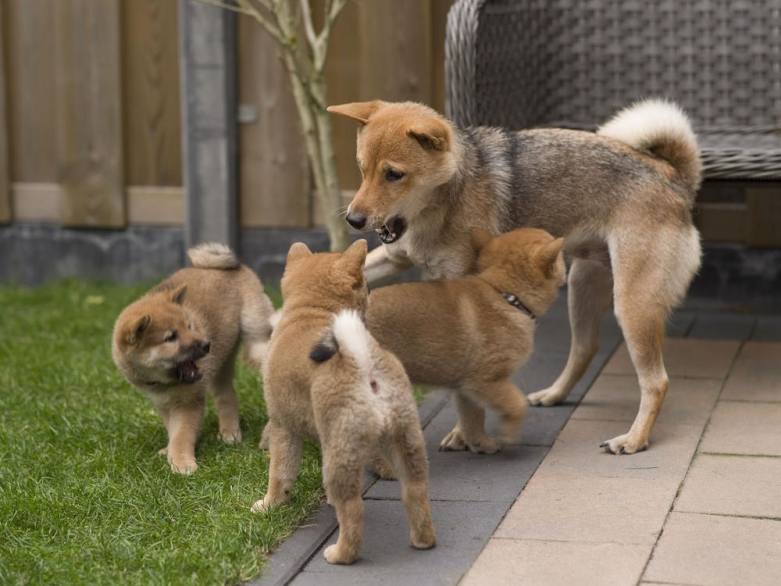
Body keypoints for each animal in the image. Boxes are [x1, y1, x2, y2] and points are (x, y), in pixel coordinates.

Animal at [111, 242, 272, 474]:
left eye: (189, 326)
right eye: (171, 337)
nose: (206, 345)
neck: (163, 383)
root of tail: (236, 266)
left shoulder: (188, 404)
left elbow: (181, 435)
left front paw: (181, 463)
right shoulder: (164, 404)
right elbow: (172, 430)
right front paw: (168, 451)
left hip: (255, 338)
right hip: (221, 362)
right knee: (227, 395)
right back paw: (230, 432)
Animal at [258, 240, 436, 564]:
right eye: (365, 285)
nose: (371, 293)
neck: (311, 311)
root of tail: (362, 360)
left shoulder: (283, 428)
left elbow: (280, 475)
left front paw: (269, 506)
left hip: (340, 454)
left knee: (353, 509)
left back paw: (340, 554)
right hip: (406, 440)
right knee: (416, 492)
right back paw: (422, 541)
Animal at [368, 227, 564, 452]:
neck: (503, 294)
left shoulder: (464, 385)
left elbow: (470, 416)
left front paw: (478, 442)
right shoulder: (484, 380)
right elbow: (517, 404)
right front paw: (508, 435)